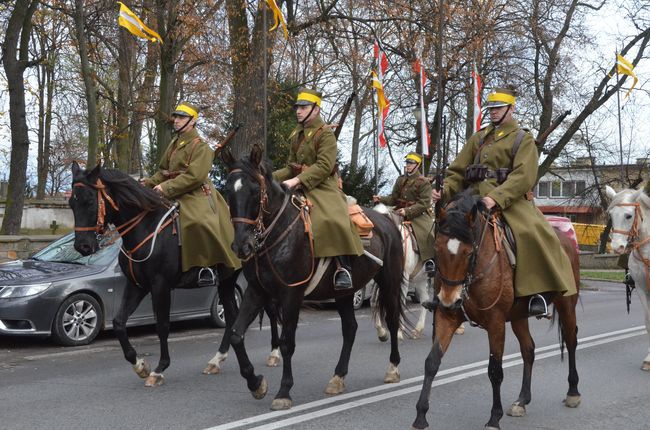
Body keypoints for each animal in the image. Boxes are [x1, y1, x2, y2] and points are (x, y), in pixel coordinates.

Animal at [69, 163, 280, 388]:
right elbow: (119, 323)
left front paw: (159, 369)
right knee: (232, 317)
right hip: (226, 281)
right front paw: (140, 365)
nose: (82, 246)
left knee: (270, 310)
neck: (146, 227)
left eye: (90, 201)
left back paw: (274, 353)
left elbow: (162, 326)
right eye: (71, 203)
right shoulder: (137, 286)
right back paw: (216, 360)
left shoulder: (160, 286)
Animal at [220, 146, 408, 412]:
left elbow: (287, 343)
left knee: (391, 322)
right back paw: (337, 377)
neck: (279, 231)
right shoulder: (256, 292)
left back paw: (393, 368)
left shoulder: (291, 295)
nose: (240, 246)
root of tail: (387, 221)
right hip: (344, 293)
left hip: (389, 283)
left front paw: (283, 391)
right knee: (350, 329)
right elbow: (236, 334)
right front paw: (256, 383)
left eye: (255, 190)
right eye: (228, 190)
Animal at [410, 191, 576, 430]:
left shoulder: (495, 322)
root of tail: (566, 240)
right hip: (518, 317)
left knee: (571, 342)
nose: (449, 299)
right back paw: (522, 400)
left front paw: (494, 418)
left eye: (469, 253)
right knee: (528, 349)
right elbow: (432, 361)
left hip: (567, 304)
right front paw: (421, 415)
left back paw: (573, 392)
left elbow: (495, 370)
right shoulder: (446, 316)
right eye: (438, 249)